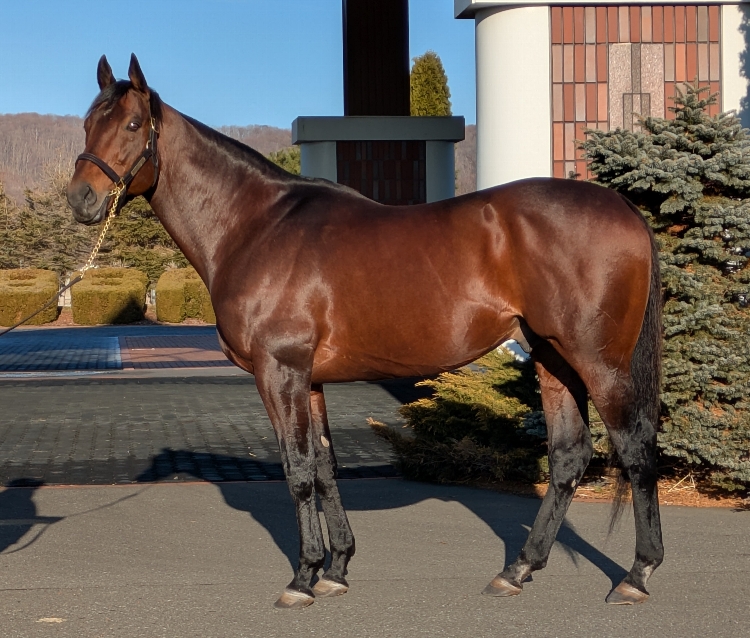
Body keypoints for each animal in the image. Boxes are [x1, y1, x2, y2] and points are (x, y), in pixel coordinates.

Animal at [67, 54, 663, 610]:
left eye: (132, 124)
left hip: (598, 360)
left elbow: (297, 469)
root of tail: (624, 208)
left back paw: (637, 575)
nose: (81, 198)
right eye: (87, 123)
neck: (255, 225)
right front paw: (336, 569)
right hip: (552, 356)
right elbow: (325, 466)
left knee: (636, 447)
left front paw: (302, 577)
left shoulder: (278, 370)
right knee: (568, 456)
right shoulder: (308, 378)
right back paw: (517, 570)